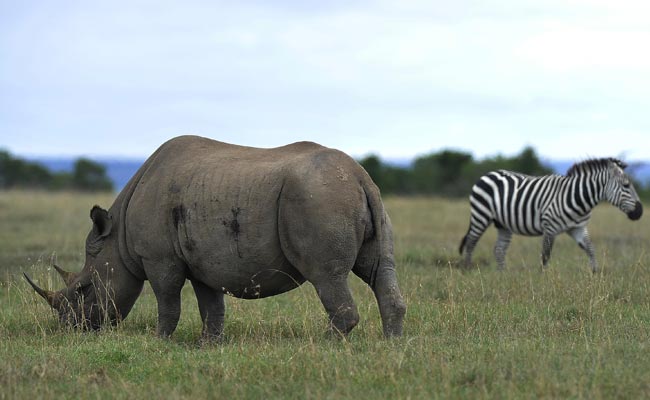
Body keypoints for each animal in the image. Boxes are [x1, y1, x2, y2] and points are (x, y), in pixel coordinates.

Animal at [458, 158, 640, 274]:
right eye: (626, 185)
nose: (640, 212)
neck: (577, 197)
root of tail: (488, 174)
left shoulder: (578, 228)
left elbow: (590, 249)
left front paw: (595, 273)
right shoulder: (550, 227)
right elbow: (546, 255)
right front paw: (542, 278)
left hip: (503, 224)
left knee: (499, 250)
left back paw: (502, 275)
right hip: (481, 214)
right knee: (471, 242)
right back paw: (467, 270)